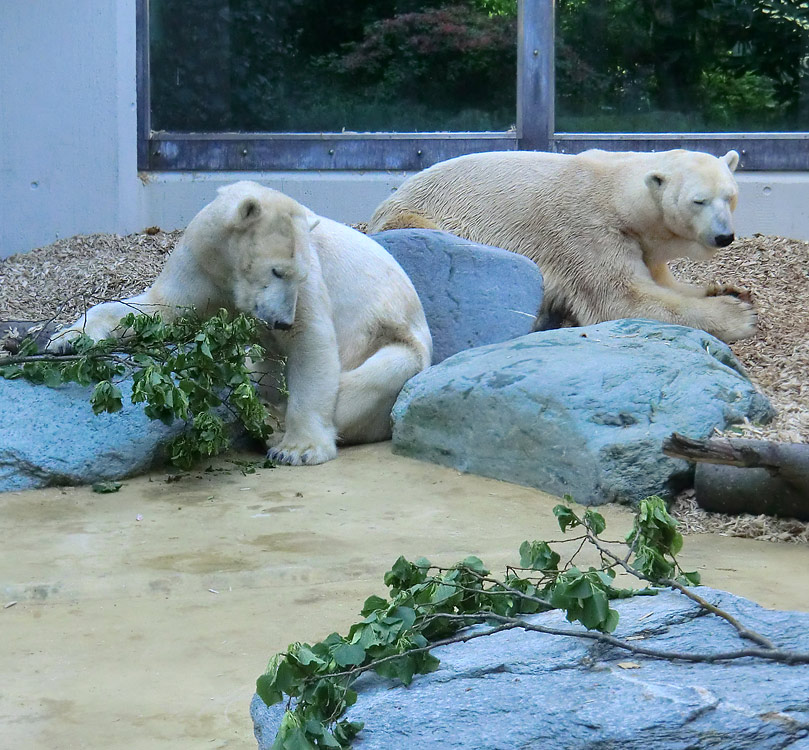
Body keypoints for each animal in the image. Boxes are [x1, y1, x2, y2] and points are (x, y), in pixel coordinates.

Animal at [49, 182, 430, 464]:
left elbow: (312, 343)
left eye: (297, 274)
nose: (282, 322)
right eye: (277, 271)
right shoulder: (201, 264)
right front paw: (66, 337)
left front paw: (298, 449)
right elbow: (158, 307)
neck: (229, 273)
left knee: (365, 382)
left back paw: (273, 419)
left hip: (397, 342)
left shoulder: (309, 279)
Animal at [370, 148, 756, 346]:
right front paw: (739, 315)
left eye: (730, 196)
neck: (617, 194)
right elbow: (621, 299)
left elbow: (663, 283)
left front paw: (727, 290)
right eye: (698, 201)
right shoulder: (585, 231)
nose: (724, 236)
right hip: (416, 217)